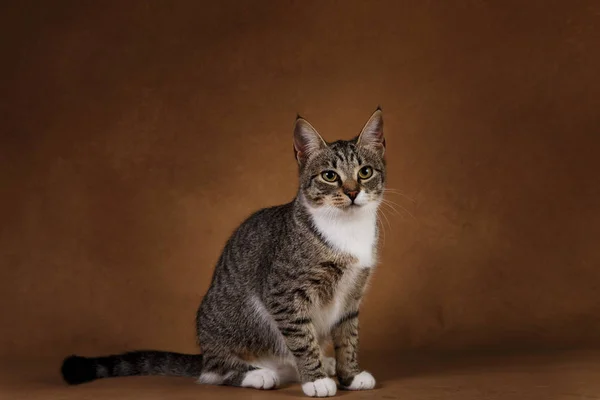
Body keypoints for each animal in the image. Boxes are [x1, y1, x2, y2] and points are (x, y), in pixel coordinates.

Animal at [62, 107, 390, 396]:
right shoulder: (284, 293)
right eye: (330, 176)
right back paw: (259, 374)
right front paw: (316, 380)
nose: (352, 192)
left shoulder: (352, 294)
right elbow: (301, 336)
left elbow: (348, 336)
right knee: (214, 373)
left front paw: (349, 374)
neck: (346, 230)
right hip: (236, 322)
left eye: (365, 172)